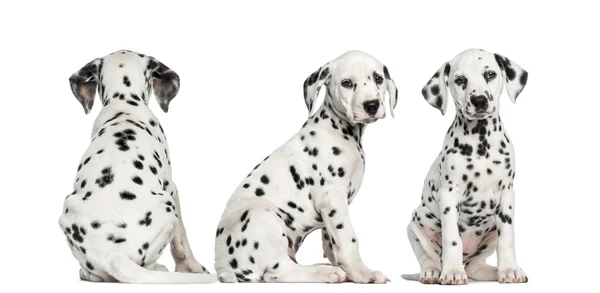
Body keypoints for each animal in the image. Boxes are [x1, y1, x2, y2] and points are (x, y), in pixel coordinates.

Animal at [58, 49, 217, 282]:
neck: (124, 104)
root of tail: (113, 256)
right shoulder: (171, 187)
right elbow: (181, 241)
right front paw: (192, 266)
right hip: (168, 206)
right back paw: (159, 268)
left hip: (67, 211)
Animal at [214, 50, 398, 282]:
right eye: (346, 83)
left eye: (378, 78)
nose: (371, 105)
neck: (340, 129)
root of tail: (222, 267)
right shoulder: (333, 199)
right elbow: (348, 239)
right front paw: (362, 273)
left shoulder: (332, 210)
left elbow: (332, 241)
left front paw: (346, 269)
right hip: (261, 213)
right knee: (277, 272)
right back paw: (325, 273)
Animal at [404, 49, 528, 284]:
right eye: (460, 80)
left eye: (490, 74)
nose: (479, 100)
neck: (481, 143)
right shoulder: (449, 195)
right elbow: (452, 239)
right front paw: (452, 272)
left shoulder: (507, 194)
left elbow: (507, 237)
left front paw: (509, 269)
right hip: (417, 222)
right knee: (429, 257)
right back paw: (433, 272)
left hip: (490, 233)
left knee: (474, 267)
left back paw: (492, 272)